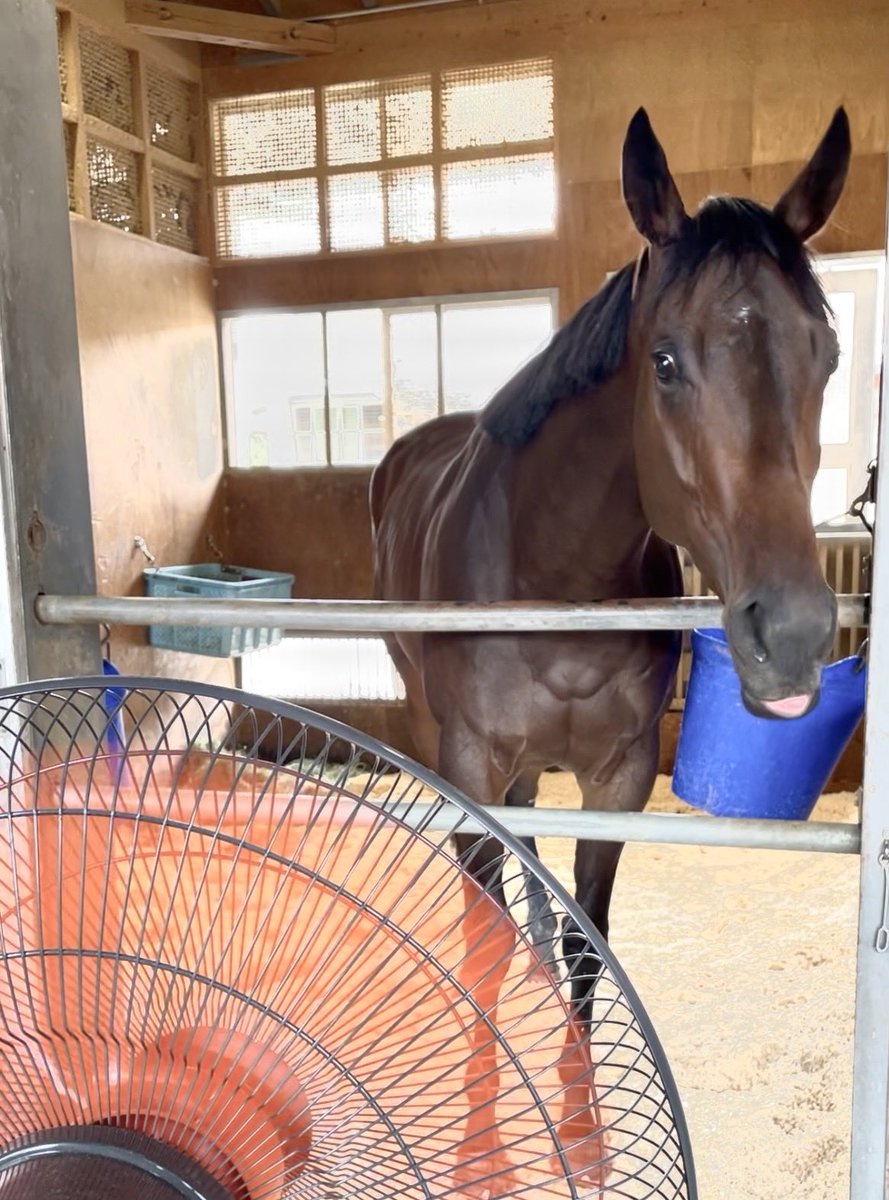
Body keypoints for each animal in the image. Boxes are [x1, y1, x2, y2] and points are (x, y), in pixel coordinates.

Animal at [370, 106, 850, 1180]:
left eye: (829, 355)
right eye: (664, 361)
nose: (793, 633)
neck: (550, 573)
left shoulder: (619, 775)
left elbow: (588, 943)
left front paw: (583, 1134)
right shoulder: (473, 758)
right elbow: (481, 942)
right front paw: (482, 1149)